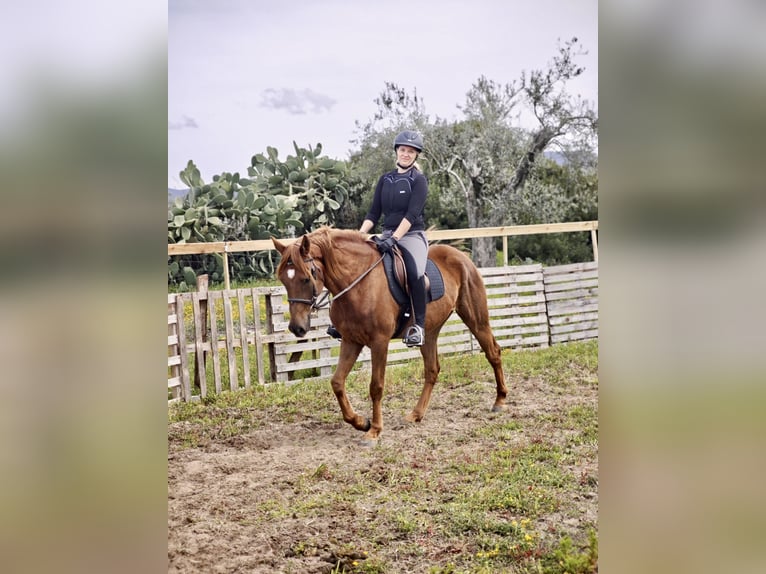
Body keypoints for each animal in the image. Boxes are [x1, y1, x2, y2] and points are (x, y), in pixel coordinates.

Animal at [271, 227, 508, 444]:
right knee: (432, 369)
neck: (357, 283)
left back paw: (499, 401)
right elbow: (337, 382)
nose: (297, 328)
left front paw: (374, 430)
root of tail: (460, 256)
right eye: (283, 279)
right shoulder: (351, 340)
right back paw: (416, 414)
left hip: (476, 319)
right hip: (429, 331)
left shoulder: (379, 342)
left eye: (306, 278)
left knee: (493, 353)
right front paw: (361, 422)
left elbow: (376, 386)